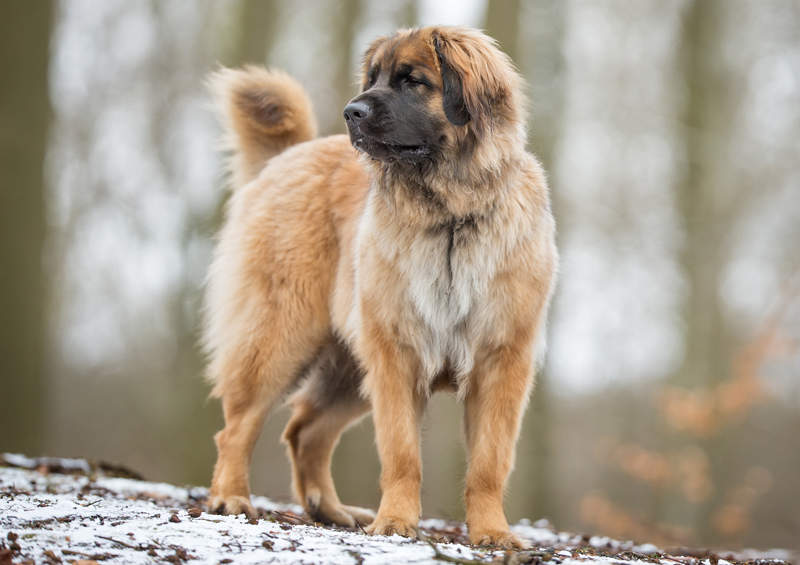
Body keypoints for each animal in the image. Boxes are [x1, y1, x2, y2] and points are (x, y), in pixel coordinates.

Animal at [203, 25, 560, 548]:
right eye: (372, 79)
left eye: (413, 81)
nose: (352, 111)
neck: (449, 214)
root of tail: (289, 155)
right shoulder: (397, 356)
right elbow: (401, 452)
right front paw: (395, 522)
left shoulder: (501, 361)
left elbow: (489, 463)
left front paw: (492, 532)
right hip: (280, 339)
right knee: (238, 428)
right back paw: (230, 497)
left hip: (348, 369)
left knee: (305, 430)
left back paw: (330, 510)